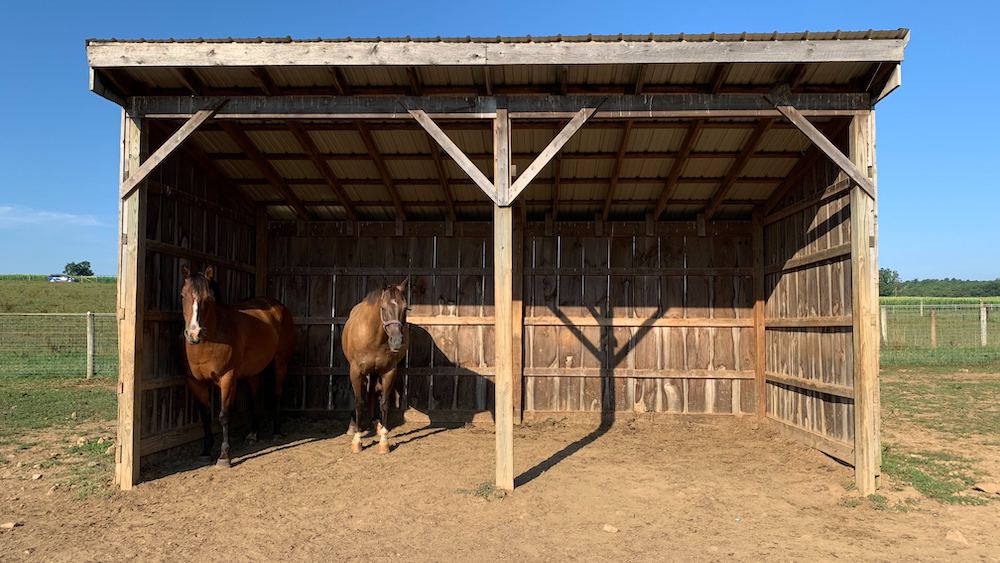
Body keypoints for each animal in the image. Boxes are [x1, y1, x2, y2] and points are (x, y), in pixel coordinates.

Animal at [182, 266, 294, 470]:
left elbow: (224, 415)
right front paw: (205, 451)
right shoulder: (196, 383)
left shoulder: (227, 379)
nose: (194, 333)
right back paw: (253, 434)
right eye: (182, 295)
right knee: (256, 396)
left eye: (209, 298)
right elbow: (205, 416)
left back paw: (276, 431)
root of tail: (277, 306)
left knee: (276, 393)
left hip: (280, 362)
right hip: (253, 372)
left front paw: (224, 456)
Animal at [342, 280, 408, 456]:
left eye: (405, 308)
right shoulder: (356, 372)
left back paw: (376, 423)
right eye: (383, 308)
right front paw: (357, 441)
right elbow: (359, 402)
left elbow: (384, 403)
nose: (397, 341)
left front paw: (384, 442)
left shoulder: (389, 372)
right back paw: (354, 426)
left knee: (372, 393)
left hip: (374, 372)